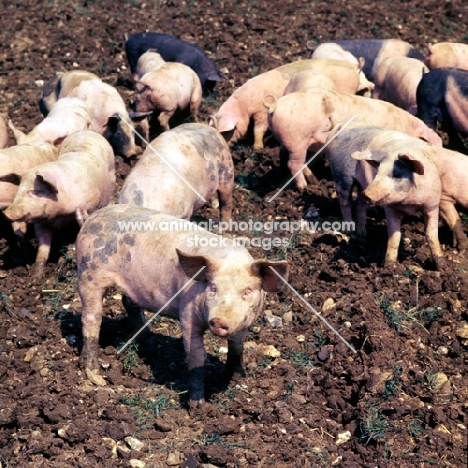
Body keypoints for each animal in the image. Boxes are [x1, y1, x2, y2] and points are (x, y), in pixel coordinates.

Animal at [3, 132, 115, 278]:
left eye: (34, 191)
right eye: (19, 190)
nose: (6, 213)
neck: (60, 215)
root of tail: (87, 132)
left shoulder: (91, 204)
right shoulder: (41, 223)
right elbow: (42, 249)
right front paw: (35, 277)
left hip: (112, 175)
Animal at [76, 205, 288, 406]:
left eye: (247, 292)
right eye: (213, 287)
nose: (219, 321)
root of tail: (91, 218)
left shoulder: (244, 323)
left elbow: (237, 347)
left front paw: (238, 379)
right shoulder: (187, 313)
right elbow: (196, 357)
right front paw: (197, 406)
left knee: (128, 303)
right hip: (88, 275)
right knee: (91, 319)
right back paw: (92, 369)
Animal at [210, 57, 368, 150]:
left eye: (227, 132)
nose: (226, 148)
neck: (245, 105)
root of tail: (354, 67)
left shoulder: (261, 111)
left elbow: (259, 129)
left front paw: (257, 148)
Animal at [266, 87, 442, 189]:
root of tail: (274, 106)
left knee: (300, 162)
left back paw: (313, 180)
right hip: (296, 141)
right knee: (293, 164)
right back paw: (304, 187)